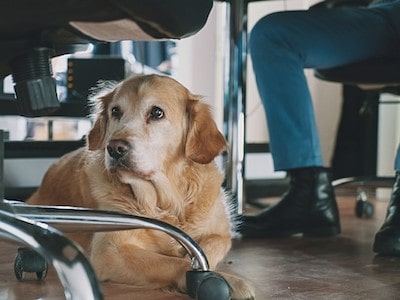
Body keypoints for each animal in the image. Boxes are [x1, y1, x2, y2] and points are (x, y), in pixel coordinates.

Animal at [28, 74, 255, 298]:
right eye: (115, 111)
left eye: (157, 113)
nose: (114, 148)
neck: (165, 202)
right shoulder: (110, 250)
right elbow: (179, 263)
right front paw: (227, 281)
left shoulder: (221, 234)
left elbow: (205, 250)